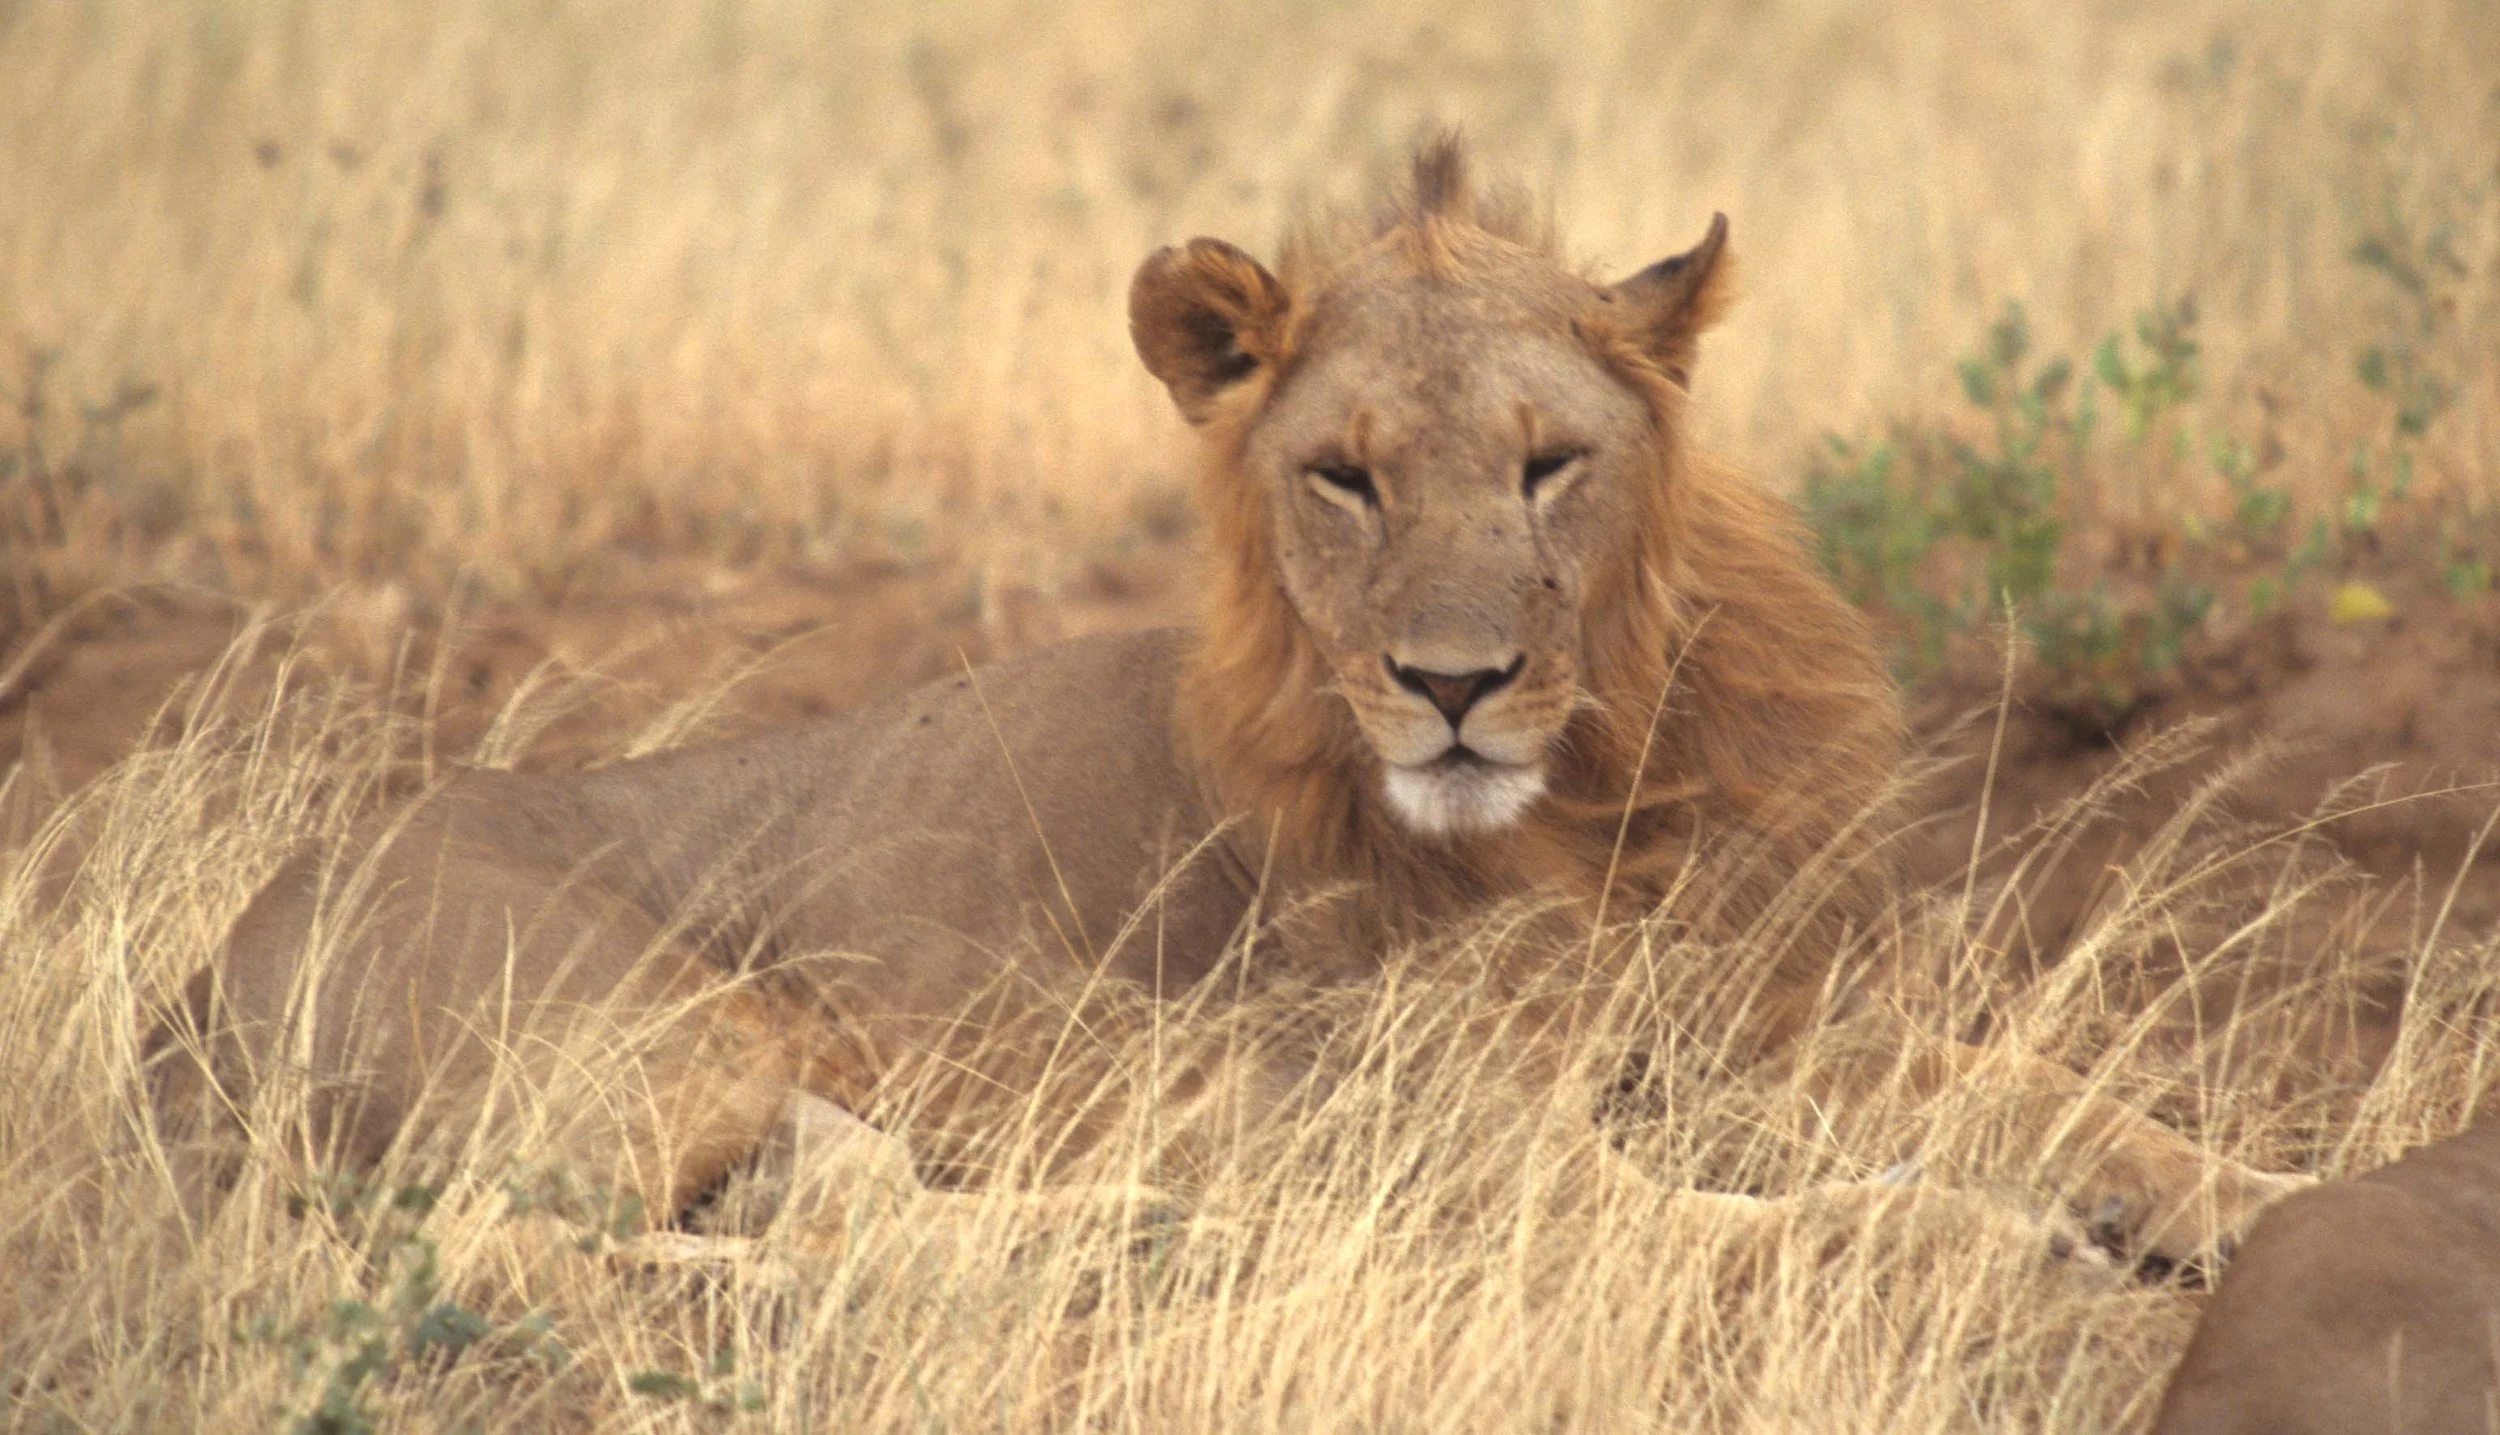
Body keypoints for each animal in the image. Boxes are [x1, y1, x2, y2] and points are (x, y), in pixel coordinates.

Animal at [147, 139, 2298, 1270]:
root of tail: (192, 982)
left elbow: (2064, 1093)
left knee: (845, 1210)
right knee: (560, 1247)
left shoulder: (1761, 1025)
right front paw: (2006, 1244)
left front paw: (2277, 1203)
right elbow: (1769, 1223)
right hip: (642, 1037)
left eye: (1547, 464)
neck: (1586, 807)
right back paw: (1163, 1232)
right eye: (1341, 478)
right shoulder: (1457, 1151)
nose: (1452, 687)